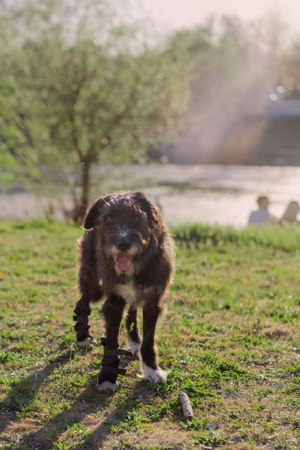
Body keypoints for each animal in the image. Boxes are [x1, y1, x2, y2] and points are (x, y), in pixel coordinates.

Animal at [73, 190, 175, 390]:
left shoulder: (153, 301)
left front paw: (151, 370)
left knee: (132, 312)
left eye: (136, 218)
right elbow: (111, 341)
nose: (123, 244)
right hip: (91, 280)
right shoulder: (114, 301)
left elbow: (149, 339)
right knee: (83, 302)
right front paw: (107, 375)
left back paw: (135, 341)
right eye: (108, 219)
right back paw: (82, 336)